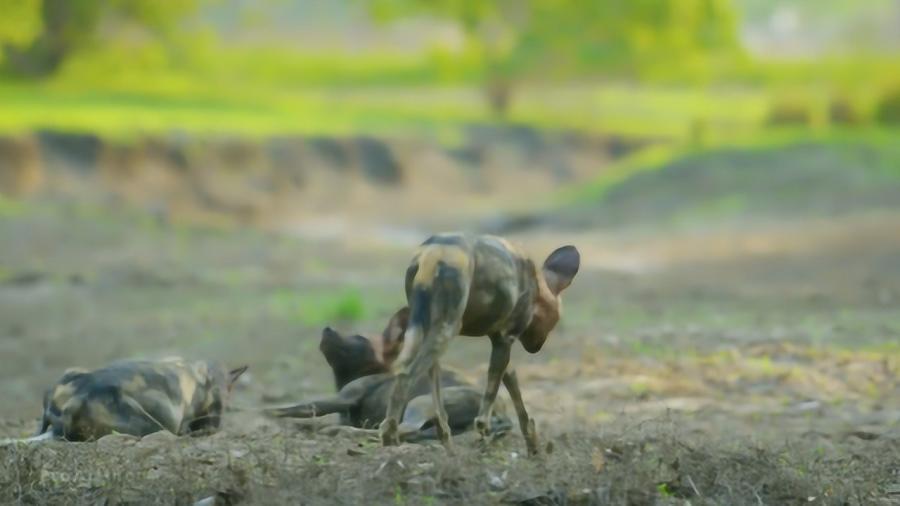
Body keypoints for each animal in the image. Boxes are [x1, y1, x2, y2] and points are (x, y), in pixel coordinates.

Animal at [264, 306, 510, 440]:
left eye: (359, 338)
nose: (327, 328)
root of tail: (500, 411)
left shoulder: (342, 398)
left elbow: (290, 408)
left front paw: (264, 414)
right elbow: (309, 419)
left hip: (420, 402)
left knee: (402, 429)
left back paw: (343, 432)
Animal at [378, 233, 576, 454]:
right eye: (555, 322)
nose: (537, 347)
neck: (538, 287)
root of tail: (434, 253)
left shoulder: (500, 342)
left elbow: (518, 400)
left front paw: (533, 447)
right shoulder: (505, 339)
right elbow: (485, 411)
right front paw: (486, 440)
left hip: (427, 329)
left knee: (433, 399)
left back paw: (445, 444)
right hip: (447, 329)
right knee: (406, 374)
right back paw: (390, 437)